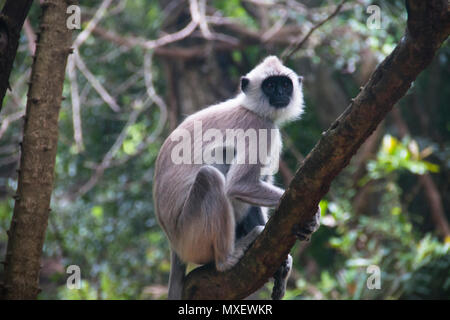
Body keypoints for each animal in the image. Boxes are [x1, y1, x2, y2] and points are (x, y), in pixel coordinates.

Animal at [155, 57, 320, 300]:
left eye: (284, 84)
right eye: (270, 85)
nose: (280, 93)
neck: (251, 108)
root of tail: (173, 244)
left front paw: (306, 226)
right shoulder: (260, 127)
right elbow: (239, 184)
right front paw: (313, 214)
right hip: (190, 235)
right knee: (212, 175)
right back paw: (227, 259)